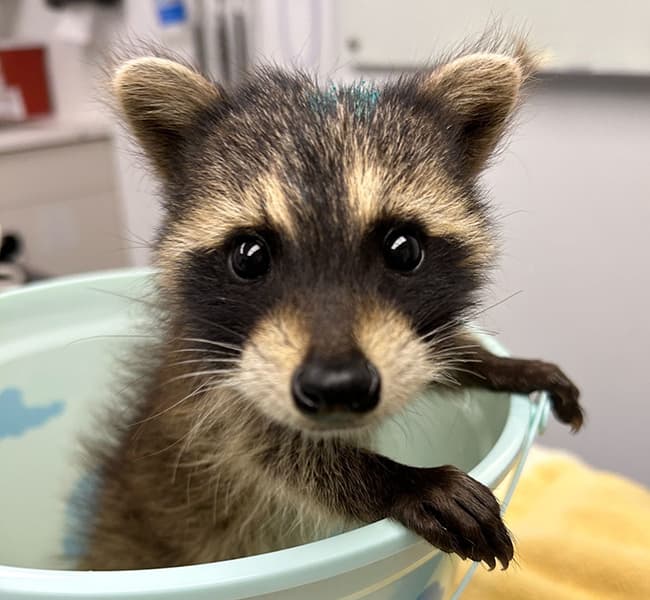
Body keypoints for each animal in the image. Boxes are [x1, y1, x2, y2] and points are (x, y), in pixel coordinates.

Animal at [78, 39, 583, 571]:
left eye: (403, 249)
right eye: (249, 255)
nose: (338, 386)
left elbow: (425, 352)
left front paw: (497, 364)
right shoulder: (215, 390)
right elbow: (272, 453)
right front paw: (400, 481)